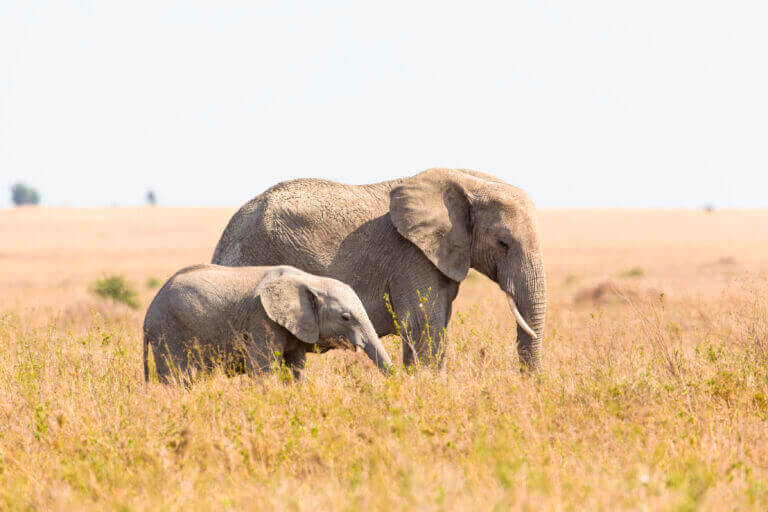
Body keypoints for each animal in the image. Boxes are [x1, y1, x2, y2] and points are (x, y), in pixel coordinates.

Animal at [143, 264, 393, 383]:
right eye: (345, 317)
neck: (310, 280)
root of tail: (147, 315)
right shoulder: (261, 318)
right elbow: (263, 369)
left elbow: (296, 367)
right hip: (169, 330)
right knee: (179, 377)